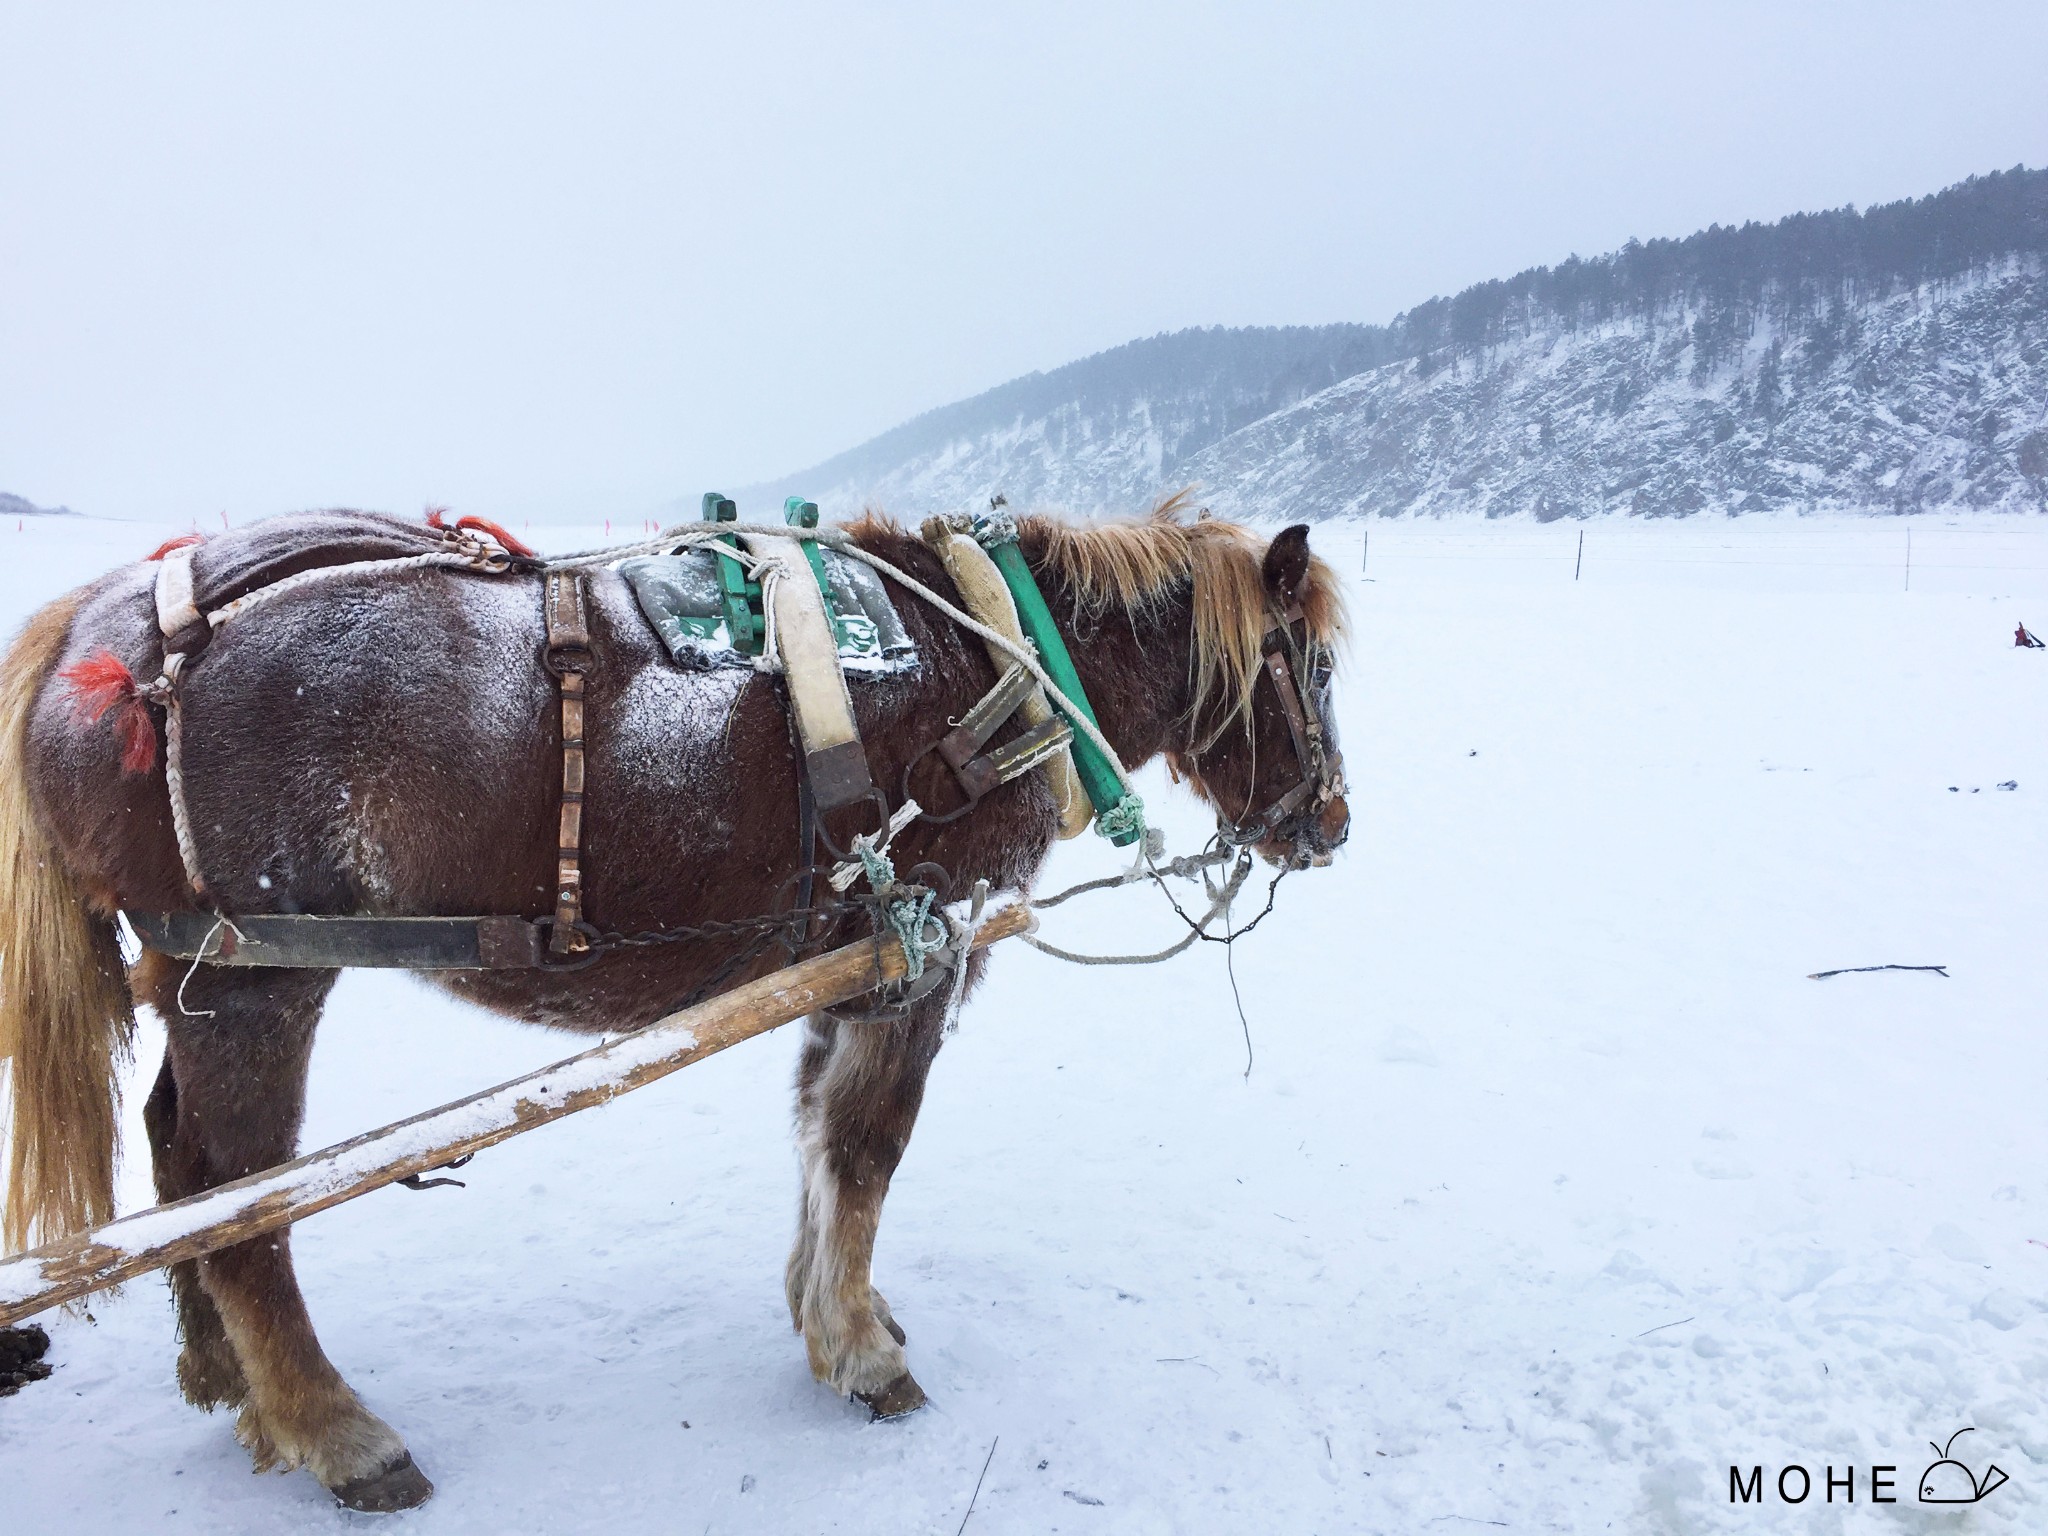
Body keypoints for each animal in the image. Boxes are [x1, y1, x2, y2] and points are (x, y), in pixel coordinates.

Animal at [0, 499, 1343, 1507]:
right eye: (1315, 666)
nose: (1328, 823)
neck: (994, 651)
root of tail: (94, 635)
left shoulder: (846, 949)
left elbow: (816, 1132)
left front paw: (830, 1310)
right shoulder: (923, 944)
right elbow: (867, 1144)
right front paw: (859, 1354)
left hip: (202, 986)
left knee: (183, 1164)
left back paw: (233, 1383)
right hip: (256, 981)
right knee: (244, 1200)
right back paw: (334, 1430)